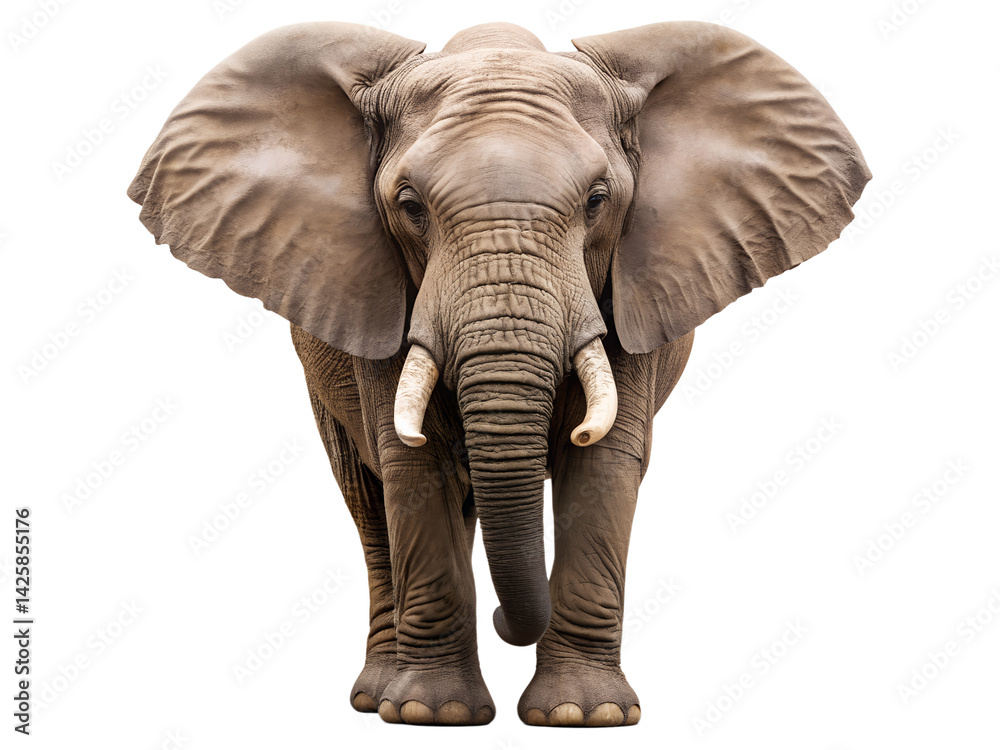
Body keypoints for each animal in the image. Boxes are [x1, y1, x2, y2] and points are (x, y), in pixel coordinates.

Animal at [128, 20, 869, 726]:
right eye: (409, 205)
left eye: (598, 200)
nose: (503, 622)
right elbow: (413, 461)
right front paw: (433, 713)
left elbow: (604, 464)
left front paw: (584, 715)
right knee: (369, 499)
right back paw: (376, 695)